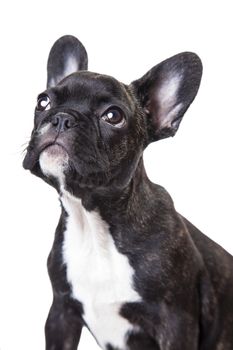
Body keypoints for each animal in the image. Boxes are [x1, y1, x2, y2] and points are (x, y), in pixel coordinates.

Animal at [23, 36, 233, 350]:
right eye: (43, 101)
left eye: (113, 116)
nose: (61, 118)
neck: (93, 222)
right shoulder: (61, 313)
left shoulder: (175, 323)